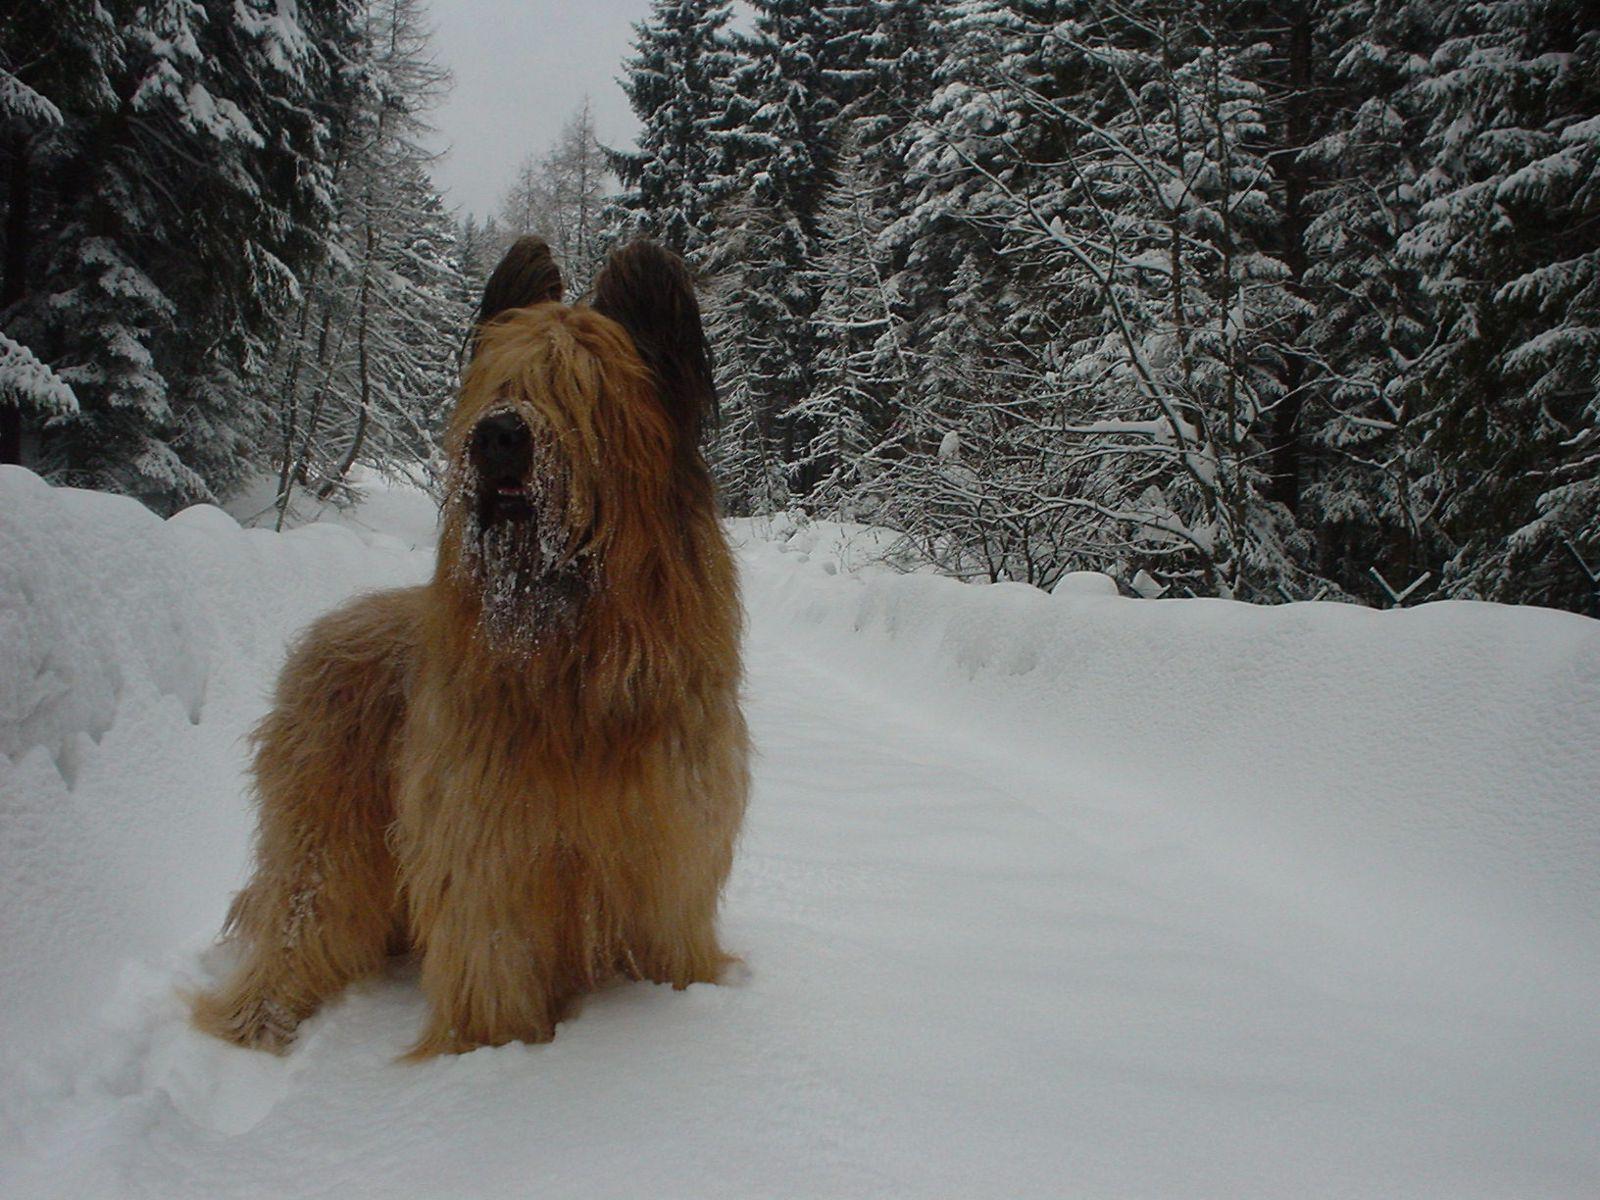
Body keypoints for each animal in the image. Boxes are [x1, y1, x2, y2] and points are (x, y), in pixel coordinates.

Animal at [195, 236, 748, 1062]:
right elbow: (493, 958)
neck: (572, 661)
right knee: (303, 915)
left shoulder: (668, 853)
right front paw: (493, 1056)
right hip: (326, 823)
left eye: (577, 388)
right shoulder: (488, 849)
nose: (498, 436)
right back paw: (262, 1016)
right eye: (500, 383)